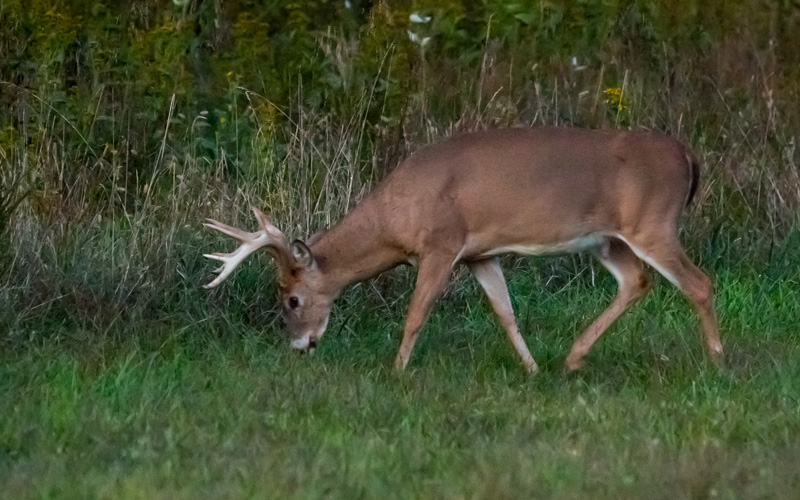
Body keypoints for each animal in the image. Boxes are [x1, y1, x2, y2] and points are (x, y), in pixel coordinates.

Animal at [203, 127, 723, 374]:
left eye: (292, 299)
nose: (299, 346)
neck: (396, 217)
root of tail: (688, 156)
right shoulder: (480, 254)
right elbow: (504, 311)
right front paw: (532, 369)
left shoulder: (442, 243)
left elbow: (417, 312)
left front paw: (396, 371)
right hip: (607, 240)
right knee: (637, 280)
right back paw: (572, 359)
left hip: (653, 223)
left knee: (699, 282)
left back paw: (717, 360)